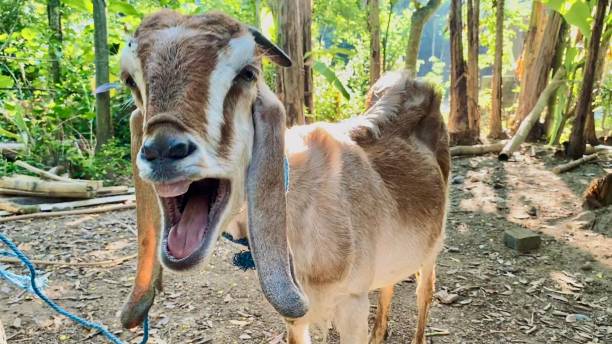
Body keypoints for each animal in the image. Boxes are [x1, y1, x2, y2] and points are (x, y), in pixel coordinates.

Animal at [119, 9, 450, 342]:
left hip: (432, 246)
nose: (163, 150)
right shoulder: (296, 316)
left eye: (247, 73)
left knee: (425, 291)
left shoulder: (352, 303)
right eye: (130, 80)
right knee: (389, 283)